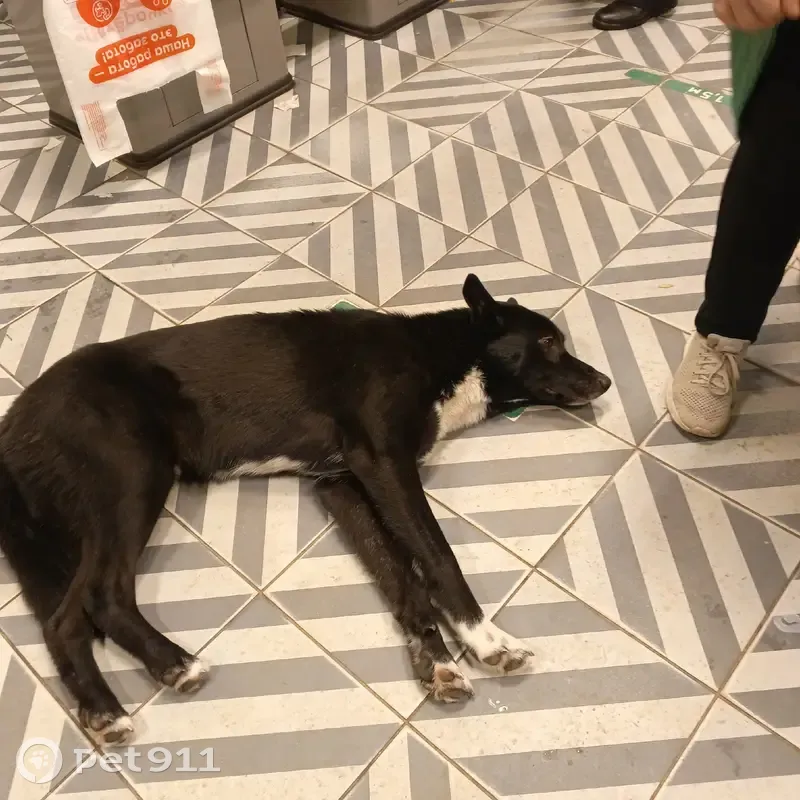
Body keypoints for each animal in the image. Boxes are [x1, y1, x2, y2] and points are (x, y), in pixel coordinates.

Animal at [0, 274, 611, 747]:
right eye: (549, 340)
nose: (605, 380)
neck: (437, 355)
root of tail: (14, 421)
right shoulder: (384, 462)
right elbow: (437, 558)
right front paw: (487, 641)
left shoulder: (341, 482)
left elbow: (401, 578)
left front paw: (435, 662)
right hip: (132, 477)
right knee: (92, 603)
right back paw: (152, 679)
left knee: (73, 616)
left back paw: (120, 697)